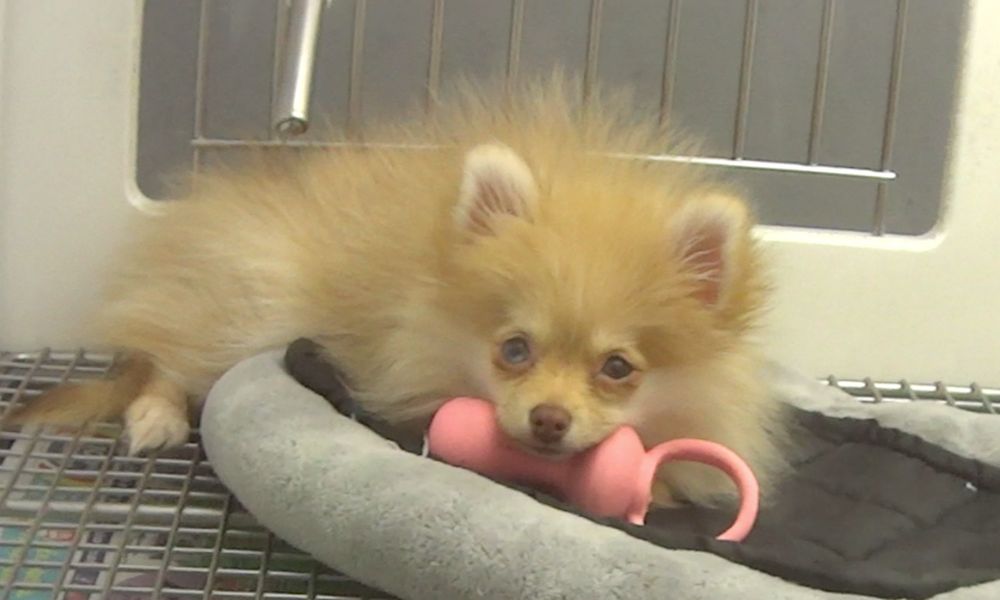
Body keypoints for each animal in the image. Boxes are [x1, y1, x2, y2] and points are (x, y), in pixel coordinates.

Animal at [9, 81, 788, 506]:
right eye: (514, 349)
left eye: (617, 367)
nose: (548, 419)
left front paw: (658, 482)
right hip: (248, 296)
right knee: (164, 359)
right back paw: (155, 414)